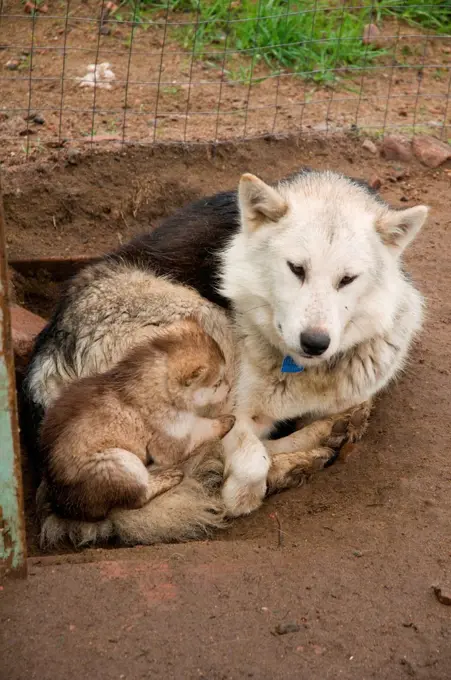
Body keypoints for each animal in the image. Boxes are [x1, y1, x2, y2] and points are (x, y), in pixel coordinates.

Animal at [40, 318, 235, 520]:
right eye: (217, 383)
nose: (229, 389)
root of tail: (60, 503)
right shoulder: (169, 440)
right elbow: (201, 429)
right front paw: (225, 421)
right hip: (118, 463)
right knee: (140, 496)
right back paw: (166, 477)